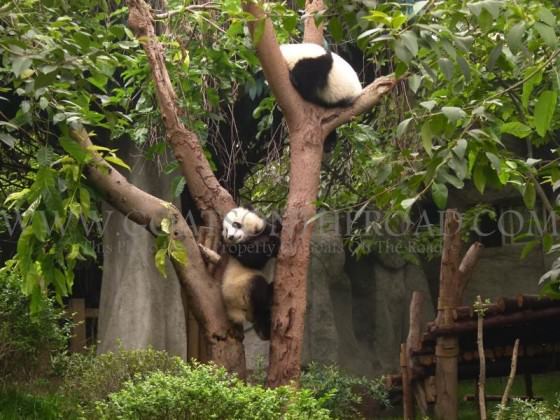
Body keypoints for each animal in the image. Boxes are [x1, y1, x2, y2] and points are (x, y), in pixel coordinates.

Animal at [219, 207, 280, 342]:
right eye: (226, 231)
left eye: (235, 224)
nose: (230, 237)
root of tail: (233, 309)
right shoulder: (236, 249)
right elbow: (253, 258)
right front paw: (275, 242)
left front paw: (276, 220)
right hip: (239, 289)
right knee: (258, 290)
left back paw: (264, 332)